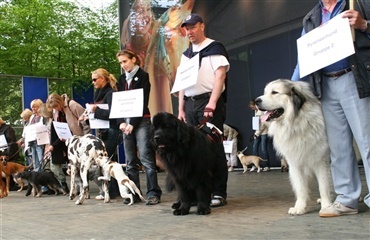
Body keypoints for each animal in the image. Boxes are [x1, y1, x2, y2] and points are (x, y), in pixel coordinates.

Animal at [254, 79, 332, 216]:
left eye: (275, 92)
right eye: (265, 92)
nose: (256, 101)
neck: (295, 123)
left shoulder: (322, 161)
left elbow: (324, 186)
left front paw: (327, 206)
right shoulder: (295, 163)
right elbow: (300, 188)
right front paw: (299, 207)